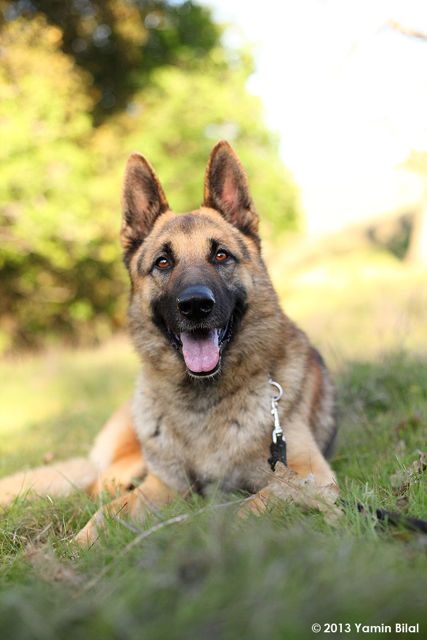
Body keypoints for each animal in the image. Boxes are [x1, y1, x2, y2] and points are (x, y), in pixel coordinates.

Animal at [0, 142, 342, 544]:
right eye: (163, 262)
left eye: (221, 255)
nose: (195, 305)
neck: (202, 403)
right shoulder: (163, 486)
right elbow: (106, 514)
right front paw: (76, 549)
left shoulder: (307, 476)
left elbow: (247, 508)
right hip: (125, 466)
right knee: (98, 489)